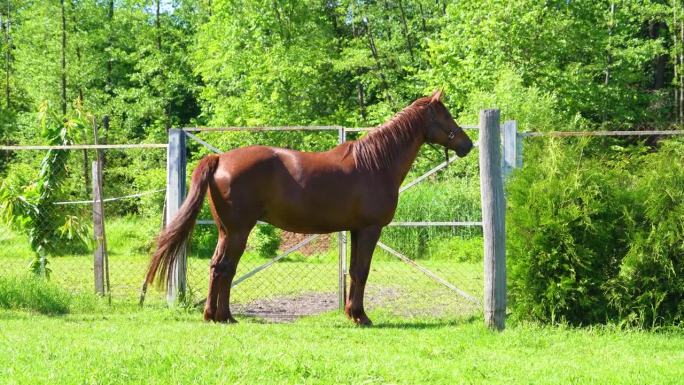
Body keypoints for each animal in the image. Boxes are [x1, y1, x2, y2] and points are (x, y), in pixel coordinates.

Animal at [146, 90, 470, 324]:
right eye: (445, 115)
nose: (467, 145)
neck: (376, 163)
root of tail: (220, 159)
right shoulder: (370, 229)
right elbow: (362, 271)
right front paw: (361, 317)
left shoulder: (356, 230)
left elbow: (354, 271)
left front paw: (351, 314)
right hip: (239, 231)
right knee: (226, 268)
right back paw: (224, 317)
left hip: (227, 231)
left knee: (218, 267)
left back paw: (215, 316)